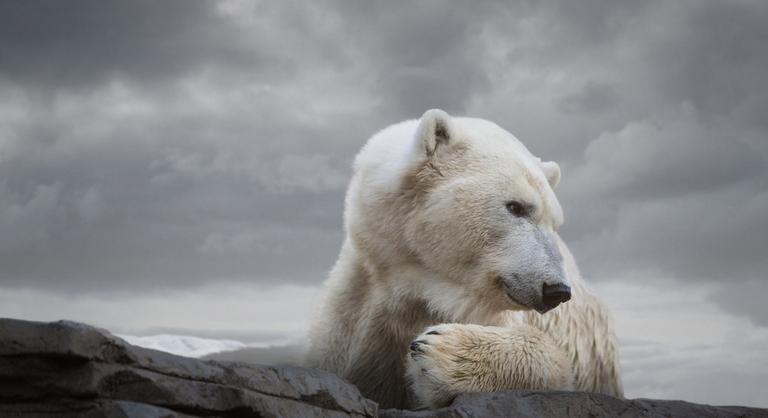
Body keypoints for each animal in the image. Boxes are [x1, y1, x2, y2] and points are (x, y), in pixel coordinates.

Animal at [306, 109, 624, 410]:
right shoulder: (357, 311)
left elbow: (555, 364)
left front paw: (439, 353)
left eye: (555, 224)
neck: (417, 286)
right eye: (515, 207)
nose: (557, 289)